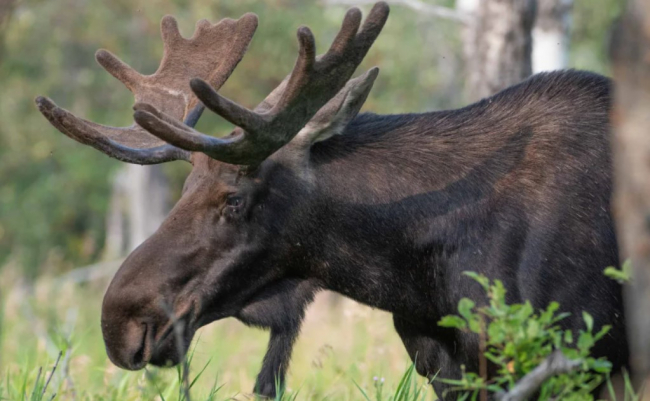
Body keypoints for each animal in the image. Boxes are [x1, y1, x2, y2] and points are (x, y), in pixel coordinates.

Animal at [36, 2, 628, 396]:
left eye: (233, 200)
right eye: (184, 190)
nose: (119, 321)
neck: (416, 280)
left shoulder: (577, 356)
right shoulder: (447, 369)